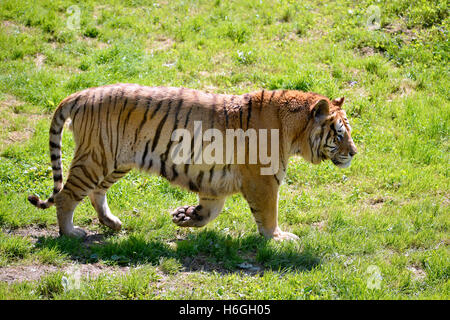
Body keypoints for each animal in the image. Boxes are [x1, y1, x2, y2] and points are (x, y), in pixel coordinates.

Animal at [28, 84, 356, 241]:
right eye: (339, 134)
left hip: (117, 161)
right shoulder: (263, 181)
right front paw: (278, 238)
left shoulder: (214, 180)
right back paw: (70, 233)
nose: (354, 153)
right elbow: (268, 214)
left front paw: (185, 216)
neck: (295, 132)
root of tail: (82, 93)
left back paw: (111, 222)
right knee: (66, 196)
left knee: (97, 192)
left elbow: (211, 211)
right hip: (96, 158)